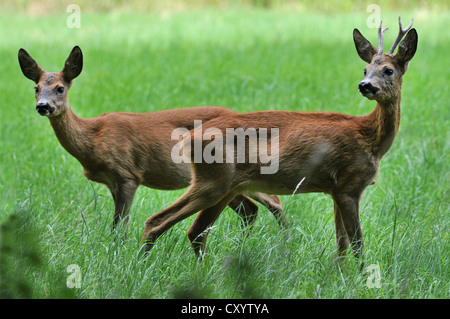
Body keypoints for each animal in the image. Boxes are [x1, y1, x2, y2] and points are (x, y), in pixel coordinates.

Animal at [18, 45, 284, 232]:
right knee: (250, 209)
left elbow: (119, 228)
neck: (92, 139)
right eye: (36, 88)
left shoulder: (127, 175)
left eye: (60, 88)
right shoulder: (113, 182)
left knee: (273, 201)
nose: (43, 106)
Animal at [142, 16, 418, 264]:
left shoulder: (336, 189)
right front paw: (361, 278)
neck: (370, 138)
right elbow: (357, 244)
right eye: (365, 69)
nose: (365, 85)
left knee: (196, 231)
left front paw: (340, 275)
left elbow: (341, 244)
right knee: (157, 221)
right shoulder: (349, 185)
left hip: (226, 187)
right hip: (213, 182)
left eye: (388, 70)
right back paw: (143, 265)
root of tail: (187, 138)